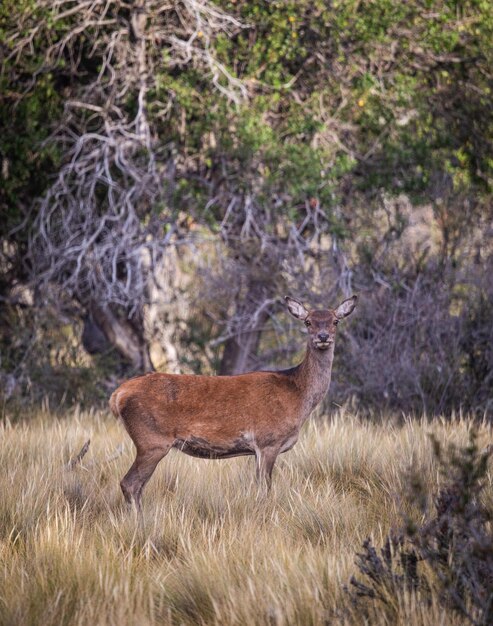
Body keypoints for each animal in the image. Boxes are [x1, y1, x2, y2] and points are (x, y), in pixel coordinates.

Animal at [109, 292, 356, 508]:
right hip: (152, 440)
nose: (322, 337)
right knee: (130, 484)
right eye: (308, 322)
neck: (297, 396)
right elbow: (265, 490)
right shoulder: (268, 440)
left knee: (136, 486)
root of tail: (118, 395)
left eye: (335, 321)